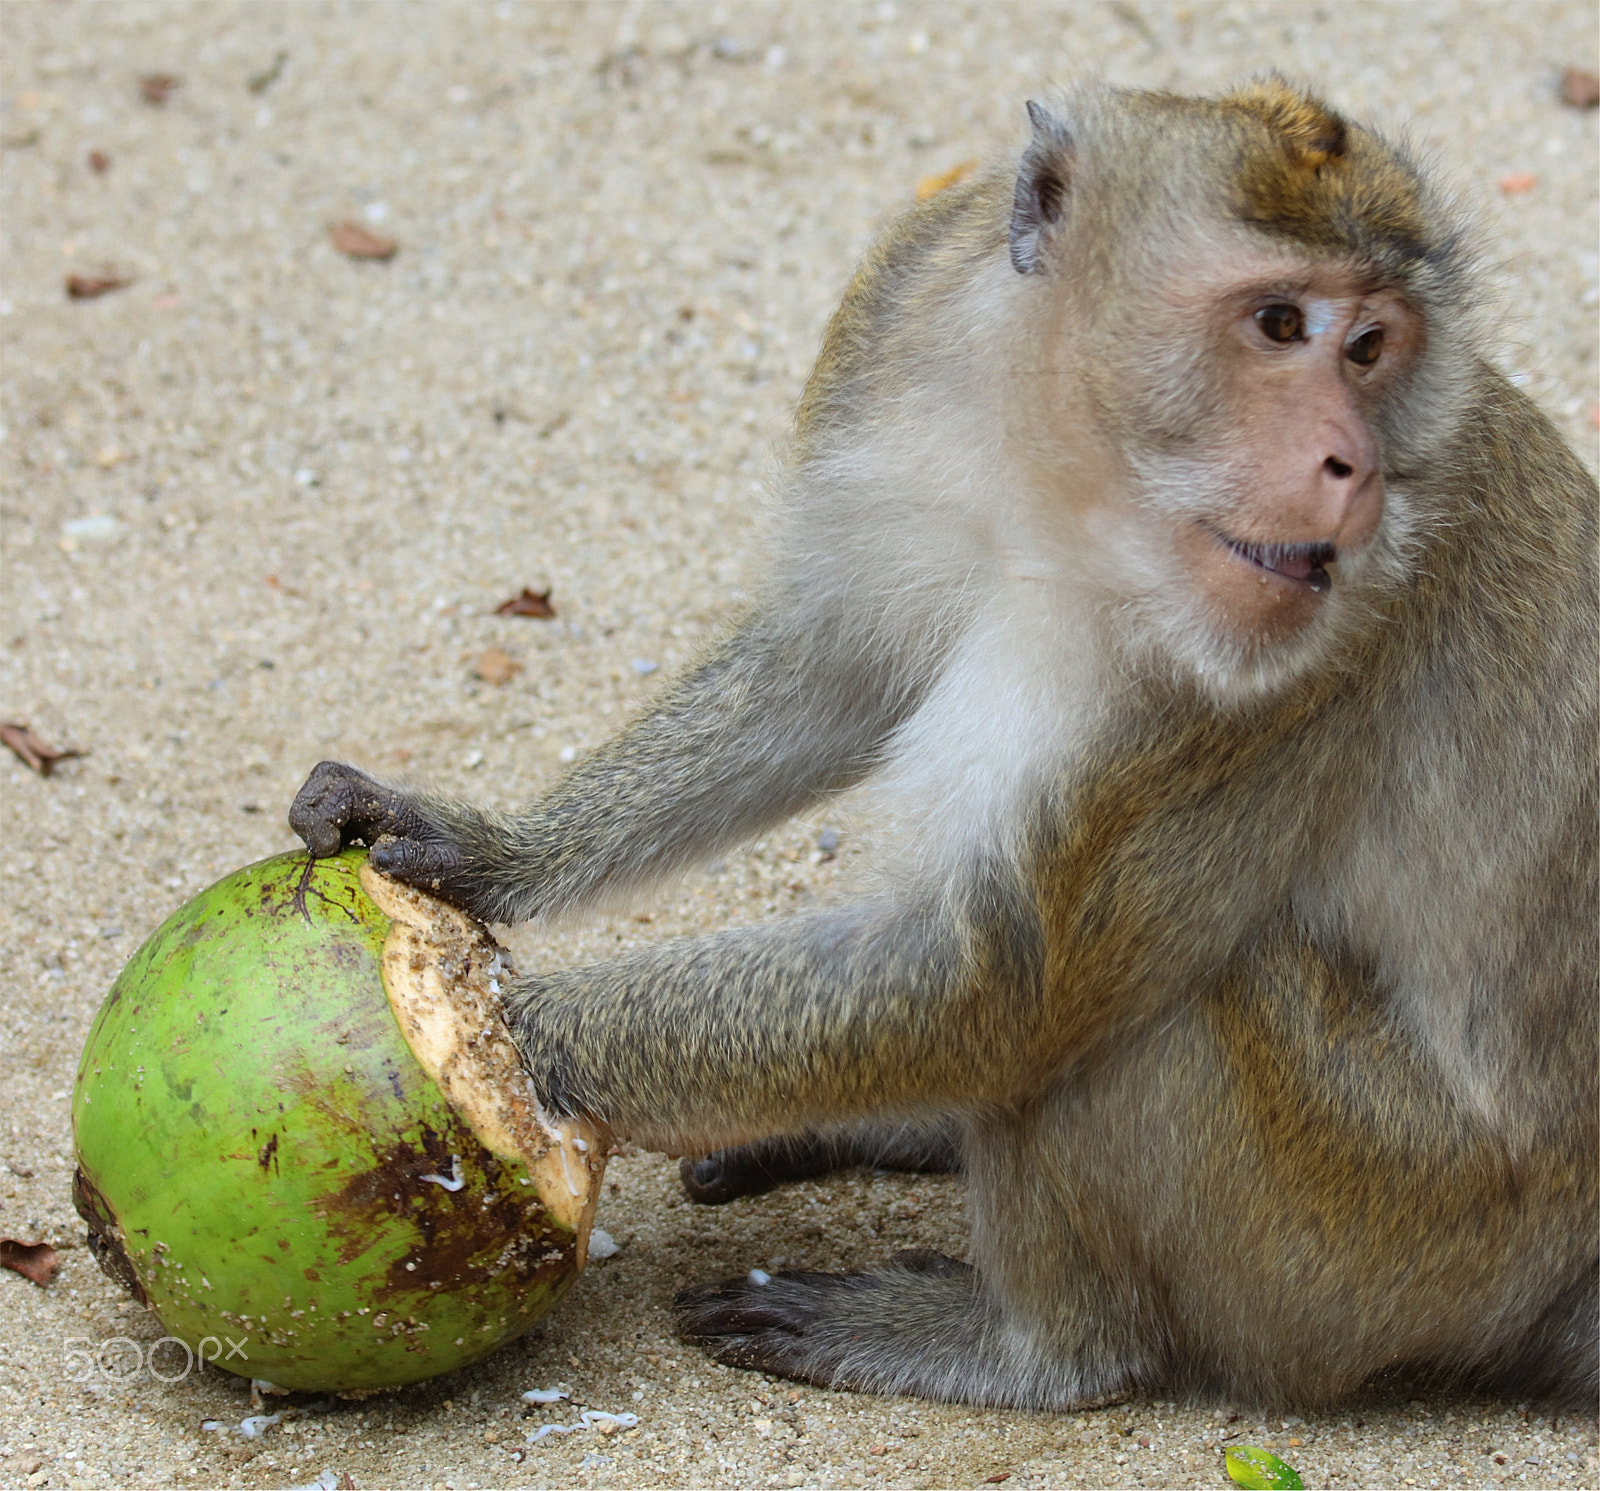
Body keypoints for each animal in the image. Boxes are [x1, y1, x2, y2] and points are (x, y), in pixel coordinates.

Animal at [291, 81, 1600, 1407]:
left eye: (1373, 347)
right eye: (1283, 324)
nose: (1355, 467)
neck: (1069, 469)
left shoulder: (1290, 663)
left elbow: (997, 980)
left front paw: (513, 1041)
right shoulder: (894, 323)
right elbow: (830, 673)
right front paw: (477, 852)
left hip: (1381, 1226)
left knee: (1148, 1007)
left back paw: (1025, 1346)